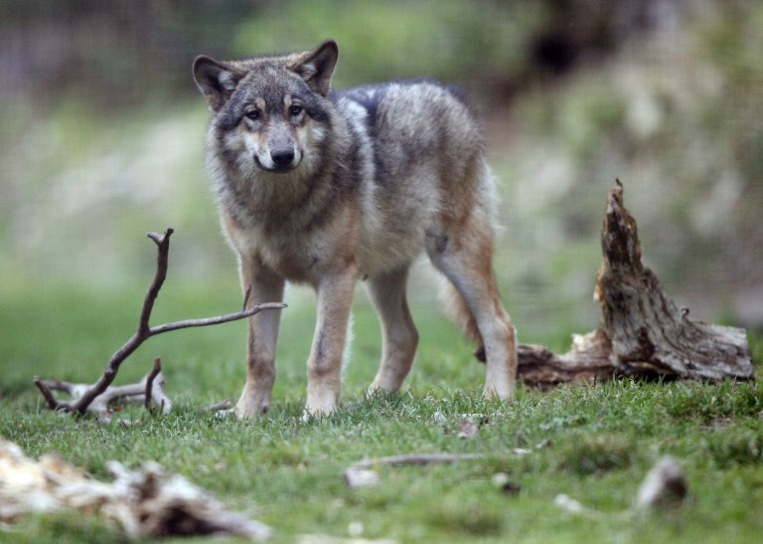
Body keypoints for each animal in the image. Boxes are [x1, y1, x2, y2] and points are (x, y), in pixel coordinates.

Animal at [193, 39, 517, 417]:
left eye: (296, 110)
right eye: (253, 115)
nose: (284, 155)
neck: (281, 206)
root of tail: (451, 93)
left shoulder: (336, 274)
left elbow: (322, 354)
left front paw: (318, 412)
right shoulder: (258, 276)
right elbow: (257, 356)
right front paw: (246, 414)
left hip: (453, 258)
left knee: (499, 326)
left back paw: (497, 397)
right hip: (382, 277)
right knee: (406, 335)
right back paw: (375, 399)